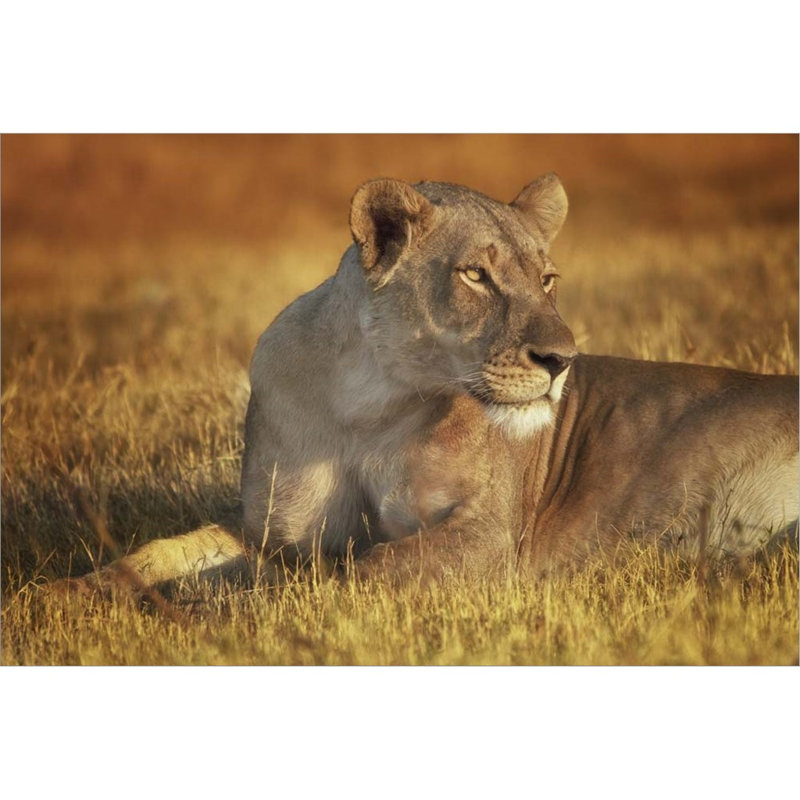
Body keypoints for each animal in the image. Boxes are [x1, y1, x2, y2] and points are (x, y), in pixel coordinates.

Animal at [55, 174, 800, 595]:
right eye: (476, 275)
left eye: (547, 279)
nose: (561, 360)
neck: (370, 400)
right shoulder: (279, 533)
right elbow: (169, 549)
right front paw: (76, 593)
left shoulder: (492, 539)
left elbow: (348, 577)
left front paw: (221, 610)